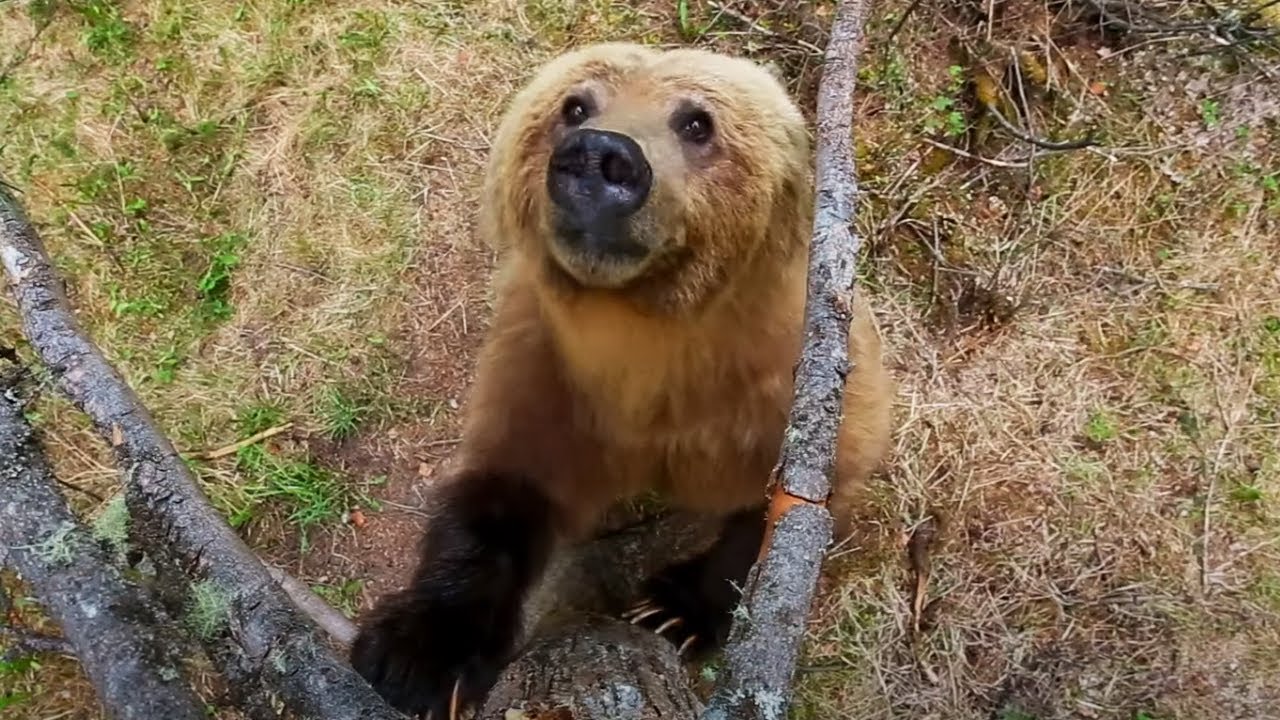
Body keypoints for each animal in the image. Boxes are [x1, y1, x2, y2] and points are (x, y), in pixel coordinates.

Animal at [350, 41, 890, 712]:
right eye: (574, 105)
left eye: (697, 122)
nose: (597, 156)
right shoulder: (549, 375)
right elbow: (502, 492)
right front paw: (417, 653)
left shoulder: (782, 390)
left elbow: (788, 509)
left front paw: (673, 609)